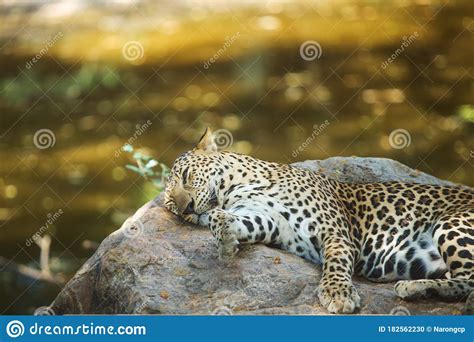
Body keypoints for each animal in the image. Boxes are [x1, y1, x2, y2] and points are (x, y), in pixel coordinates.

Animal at [164, 129, 474, 316]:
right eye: (171, 206)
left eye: (187, 176)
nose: (186, 208)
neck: (239, 188)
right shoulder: (270, 222)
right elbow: (224, 218)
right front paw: (226, 240)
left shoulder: (334, 232)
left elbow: (335, 263)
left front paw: (337, 294)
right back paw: (416, 287)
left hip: (451, 223)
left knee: (469, 281)